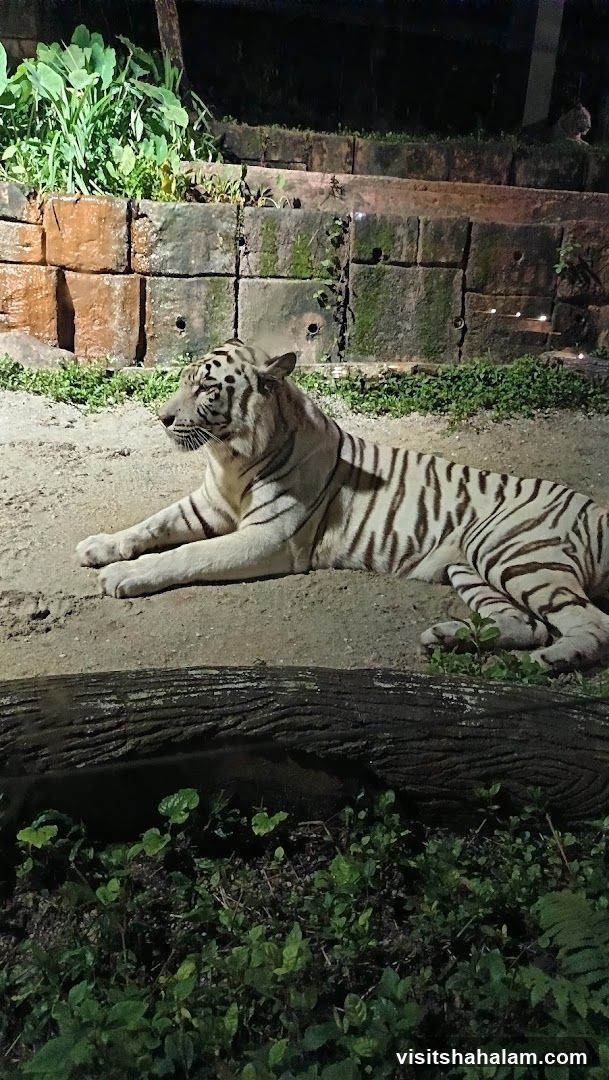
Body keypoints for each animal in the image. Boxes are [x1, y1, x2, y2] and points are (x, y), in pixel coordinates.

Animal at [76, 338, 609, 673]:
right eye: (184, 381)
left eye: (207, 388)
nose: (162, 418)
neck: (230, 458)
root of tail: (595, 508)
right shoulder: (207, 505)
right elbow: (149, 525)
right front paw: (97, 546)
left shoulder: (270, 539)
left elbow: (187, 554)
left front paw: (123, 575)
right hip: (471, 566)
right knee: (530, 624)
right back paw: (447, 637)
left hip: (513, 553)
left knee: (590, 623)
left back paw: (549, 662)